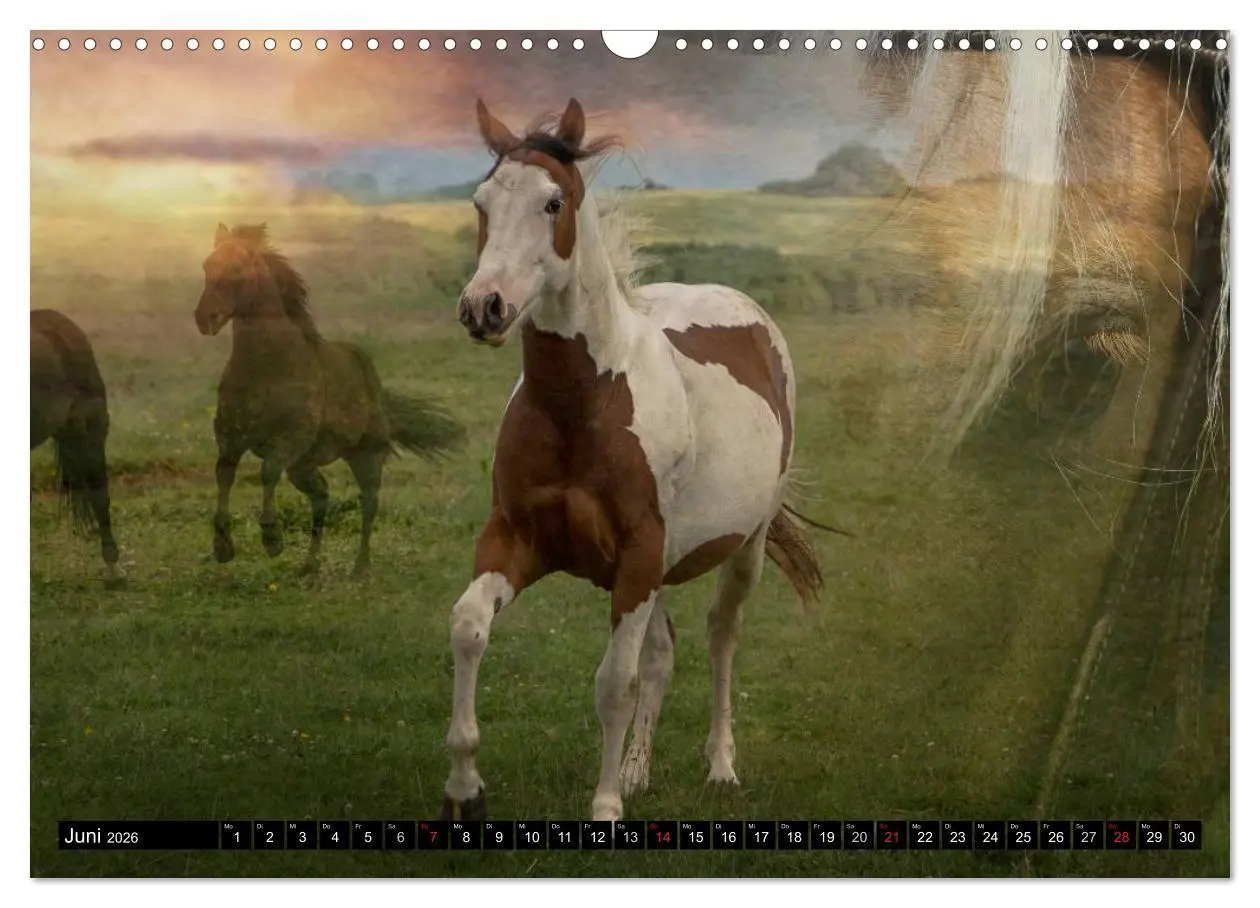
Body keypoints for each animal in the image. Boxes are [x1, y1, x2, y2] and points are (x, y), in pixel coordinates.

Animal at [195, 223, 465, 578]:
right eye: (206, 265)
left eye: (237, 269)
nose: (205, 318)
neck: (265, 366)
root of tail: (376, 389)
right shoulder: (230, 438)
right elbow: (223, 475)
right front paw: (223, 546)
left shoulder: (288, 441)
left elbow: (267, 472)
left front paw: (272, 539)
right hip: (304, 466)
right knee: (321, 498)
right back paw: (310, 566)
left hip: (365, 456)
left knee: (368, 503)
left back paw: (360, 568)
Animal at [440, 98, 828, 823]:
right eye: (481, 201)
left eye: (553, 202)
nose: (484, 307)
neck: (584, 403)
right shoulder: (518, 539)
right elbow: (469, 627)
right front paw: (464, 788)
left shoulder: (639, 556)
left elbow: (613, 683)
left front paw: (605, 806)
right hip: (659, 569)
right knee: (663, 654)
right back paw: (640, 769)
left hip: (743, 547)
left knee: (720, 637)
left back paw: (721, 765)